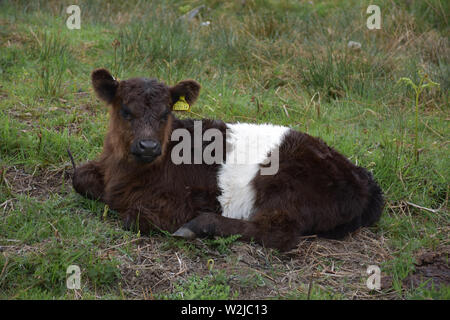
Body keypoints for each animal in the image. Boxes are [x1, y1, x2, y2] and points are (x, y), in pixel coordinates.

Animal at [73, 69, 384, 251]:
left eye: (165, 114)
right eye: (125, 111)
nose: (148, 146)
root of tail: (361, 176)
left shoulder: (186, 199)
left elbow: (134, 217)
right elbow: (78, 178)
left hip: (286, 185)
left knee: (276, 233)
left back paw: (198, 226)